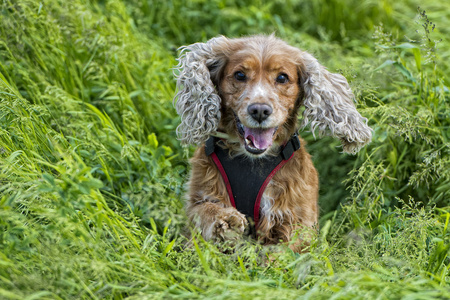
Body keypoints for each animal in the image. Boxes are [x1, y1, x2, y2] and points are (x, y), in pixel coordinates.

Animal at [172, 34, 370, 252]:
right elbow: (204, 211)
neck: (252, 160)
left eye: (282, 78)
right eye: (240, 75)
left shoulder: (299, 219)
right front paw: (227, 221)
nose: (259, 110)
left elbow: (283, 248)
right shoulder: (200, 196)